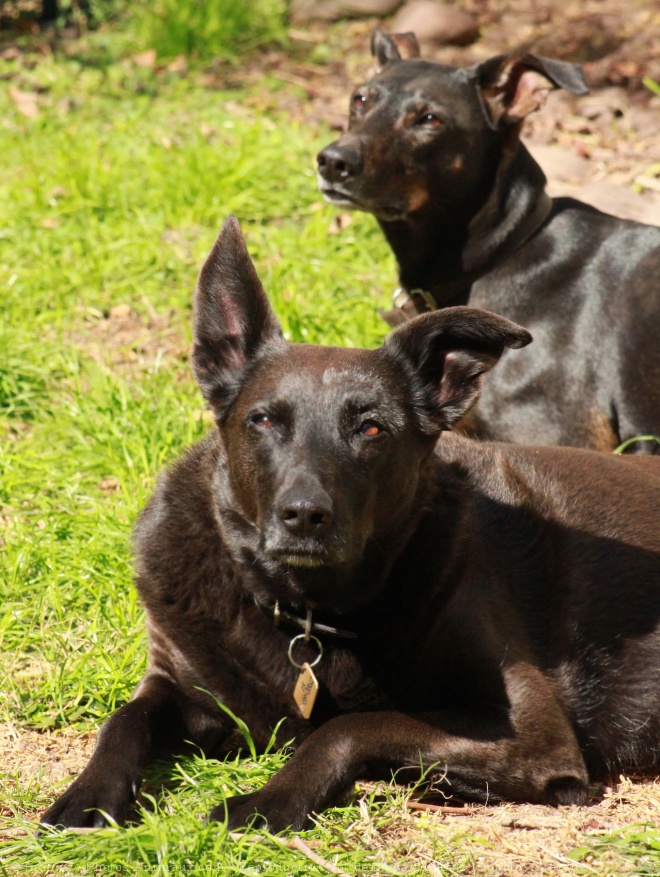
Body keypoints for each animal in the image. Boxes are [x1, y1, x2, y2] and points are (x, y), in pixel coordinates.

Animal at [42, 216, 660, 832]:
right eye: (262, 420)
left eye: (372, 429)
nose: (304, 516)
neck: (307, 612)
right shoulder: (180, 683)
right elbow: (124, 718)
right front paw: (86, 795)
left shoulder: (535, 732)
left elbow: (351, 724)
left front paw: (272, 798)